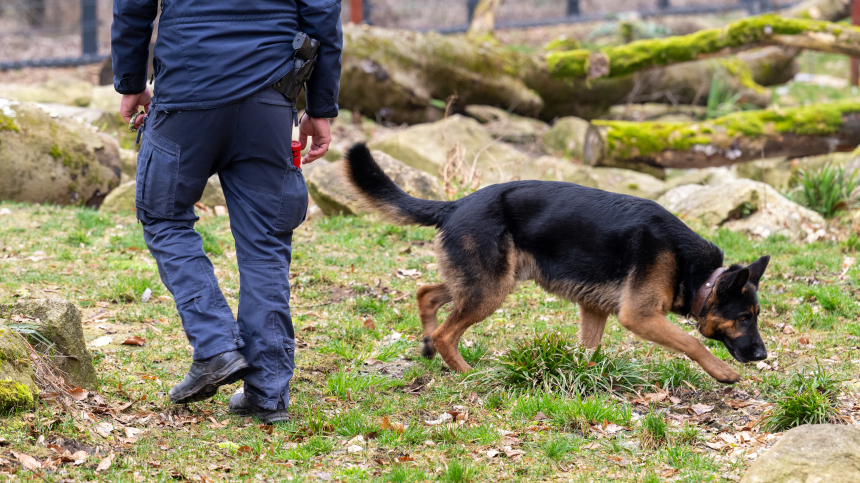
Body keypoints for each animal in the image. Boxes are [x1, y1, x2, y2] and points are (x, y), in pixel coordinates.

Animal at [342, 142, 772, 384]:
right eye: (744, 317)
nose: (763, 356)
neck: (698, 274)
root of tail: (458, 203)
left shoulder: (594, 309)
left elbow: (589, 350)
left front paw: (585, 378)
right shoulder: (640, 316)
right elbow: (691, 343)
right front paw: (722, 372)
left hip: (485, 281)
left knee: (426, 293)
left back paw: (429, 345)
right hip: (490, 289)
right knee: (449, 331)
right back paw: (466, 373)